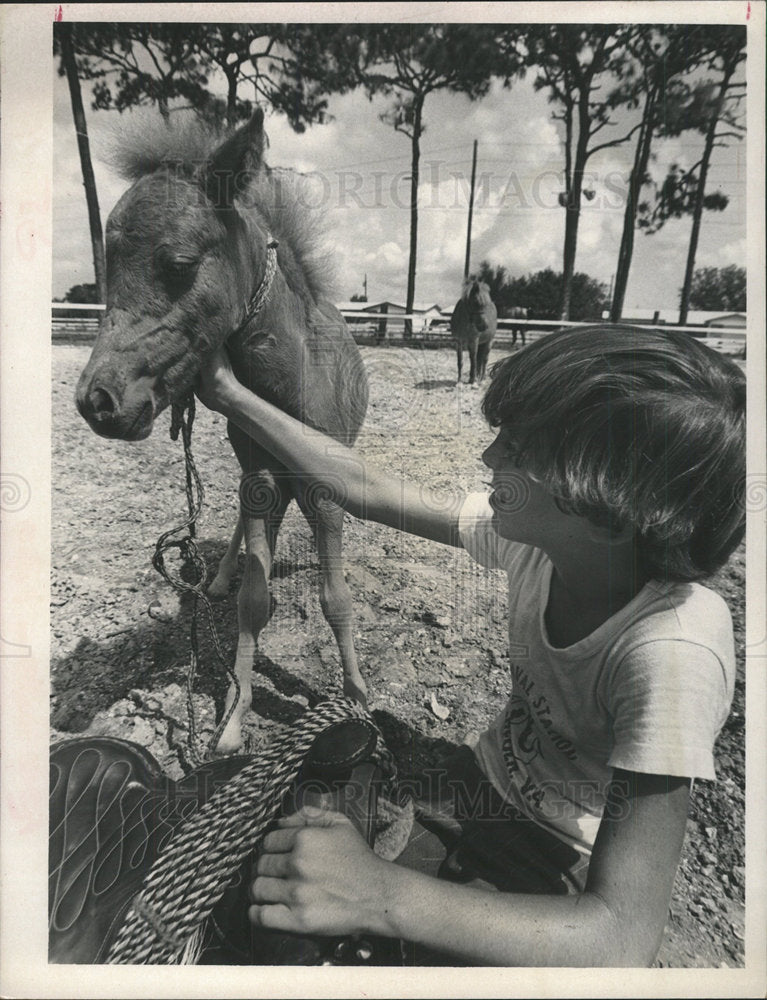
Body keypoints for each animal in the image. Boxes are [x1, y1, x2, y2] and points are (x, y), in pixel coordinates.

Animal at [75, 109, 369, 755]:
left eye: (180, 265)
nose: (97, 402)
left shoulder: (323, 489)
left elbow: (335, 597)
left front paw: (358, 693)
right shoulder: (258, 477)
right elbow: (253, 602)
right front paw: (234, 717)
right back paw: (220, 575)